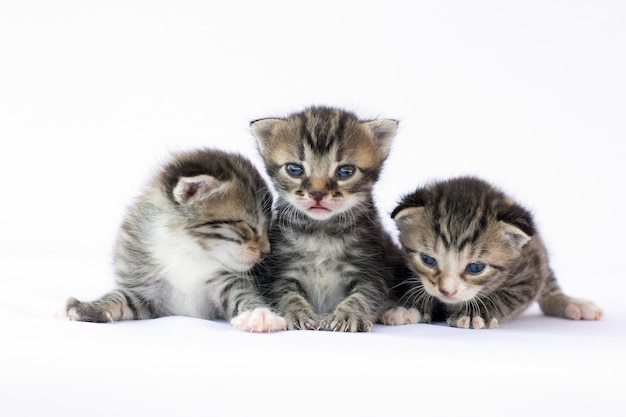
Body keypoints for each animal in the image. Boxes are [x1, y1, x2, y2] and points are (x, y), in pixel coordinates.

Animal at [65, 147, 286, 332]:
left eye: (269, 227)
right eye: (249, 226)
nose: (266, 252)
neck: (186, 247)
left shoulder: (226, 280)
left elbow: (242, 294)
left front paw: (259, 313)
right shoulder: (145, 290)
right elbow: (122, 297)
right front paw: (88, 307)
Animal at [250, 105, 404, 332]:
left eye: (345, 171)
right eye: (294, 169)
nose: (317, 193)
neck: (321, 231)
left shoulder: (371, 268)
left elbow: (363, 296)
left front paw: (348, 315)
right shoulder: (281, 270)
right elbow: (287, 294)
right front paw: (297, 312)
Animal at [380, 176, 600, 328]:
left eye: (476, 267)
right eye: (428, 260)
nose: (446, 291)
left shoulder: (531, 271)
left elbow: (506, 295)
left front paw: (472, 314)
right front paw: (408, 306)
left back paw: (573, 305)